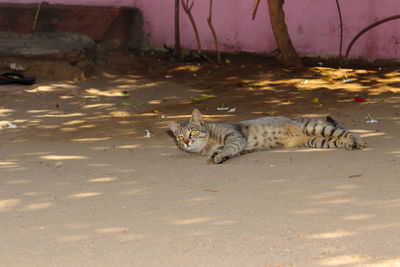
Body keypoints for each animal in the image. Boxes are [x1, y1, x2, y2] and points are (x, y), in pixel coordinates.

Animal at [167, 109, 368, 164]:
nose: (186, 142)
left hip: (316, 128)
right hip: (318, 141)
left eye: (192, 132)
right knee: (340, 139)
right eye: (179, 137)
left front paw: (220, 155)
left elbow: (229, 147)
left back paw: (359, 141)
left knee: (348, 132)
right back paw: (349, 144)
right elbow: (226, 152)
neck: (207, 145)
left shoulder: (235, 137)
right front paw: (218, 156)